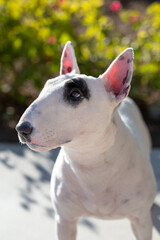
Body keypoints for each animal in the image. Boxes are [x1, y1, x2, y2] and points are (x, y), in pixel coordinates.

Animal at [16, 42, 156, 239]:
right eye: (45, 87)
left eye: (75, 94)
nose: (22, 129)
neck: (91, 162)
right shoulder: (64, 220)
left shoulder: (141, 220)